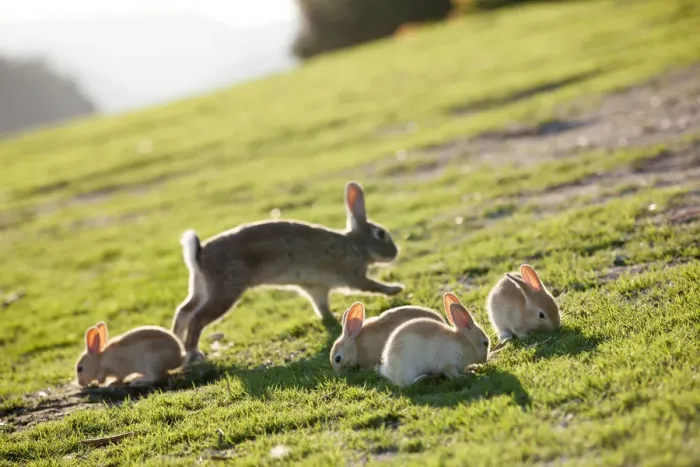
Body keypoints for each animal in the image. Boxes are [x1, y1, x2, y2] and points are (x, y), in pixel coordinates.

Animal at [171, 181, 404, 363]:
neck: (356, 245)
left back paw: (178, 343)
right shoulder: (353, 276)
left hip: (201, 287)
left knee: (184, 310)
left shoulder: (317, 287)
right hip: (224, 290)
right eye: (380, 234)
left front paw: (333, 318)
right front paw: (395, 289)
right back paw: (194, 353)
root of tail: (199, 254)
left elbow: (321, 306)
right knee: (197, 318)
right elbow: (371, 286)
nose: (395, 252)